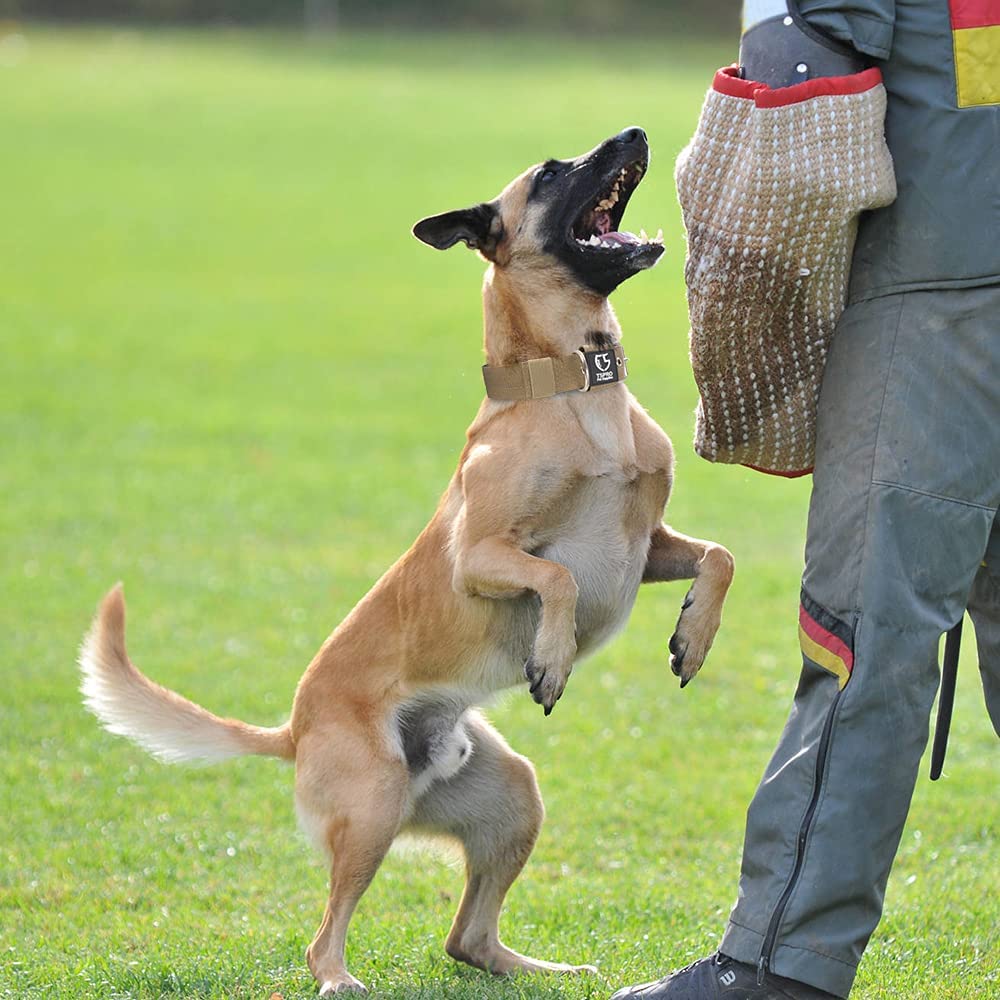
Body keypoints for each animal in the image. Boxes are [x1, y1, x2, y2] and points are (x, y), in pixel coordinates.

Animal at [78, 129, 736, 996]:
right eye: (551, 173)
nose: (634, 133)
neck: (569, 389)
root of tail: (294, 729)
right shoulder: (480, 558)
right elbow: (556, 577)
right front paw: (552, 660)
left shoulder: (648, 545)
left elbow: (720, 557)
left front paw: (693, 637)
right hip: (374, 809)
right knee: (325, 936)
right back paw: (340, 979)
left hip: (509, 797)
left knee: (469, 939)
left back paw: (546, 968)